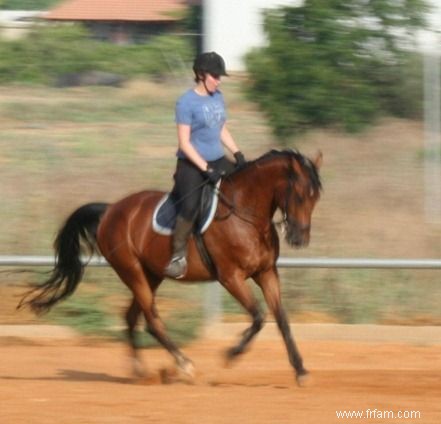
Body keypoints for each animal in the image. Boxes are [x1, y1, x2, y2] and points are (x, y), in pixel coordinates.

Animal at [18, 149, 322, 384]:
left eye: (315, 197)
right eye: (298, 195)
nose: (299, 239)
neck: (245, 214)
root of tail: (110, 210)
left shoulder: (267, 273)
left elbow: (281, 320)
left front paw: (300, 370)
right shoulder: (230, 277)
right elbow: (259, 316)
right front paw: (230, 355)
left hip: (152, 274)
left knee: (132, 317)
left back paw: (141, 371)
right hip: (133, 272)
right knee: (152, 319)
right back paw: (184, 365)